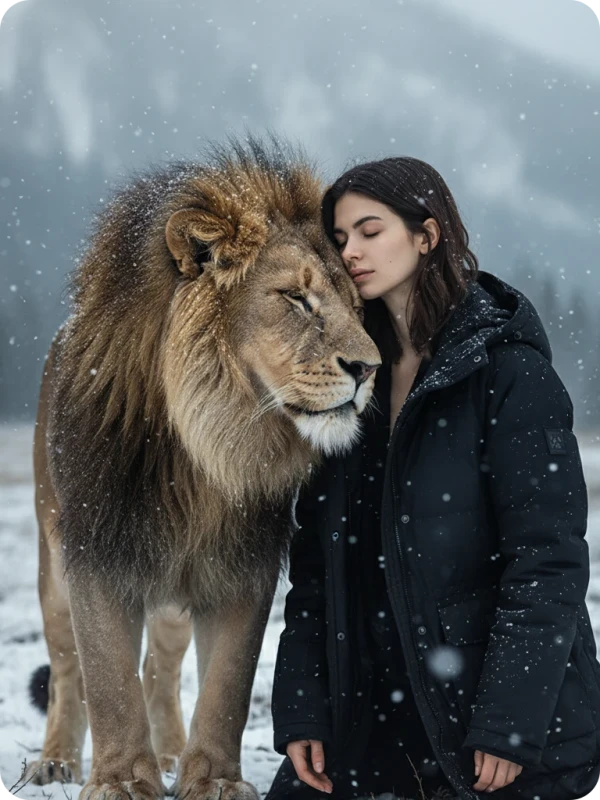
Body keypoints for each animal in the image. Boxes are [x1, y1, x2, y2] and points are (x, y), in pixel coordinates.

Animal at [27, 138, 381, 800]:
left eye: (356, 305)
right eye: (296, 299)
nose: (369, 368)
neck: (208, 446)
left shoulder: (243, 564)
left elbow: (226, 687)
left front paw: (212, 779)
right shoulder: (97, 553)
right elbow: (106, 681)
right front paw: (120, 781)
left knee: (161, 668)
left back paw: (168, 753)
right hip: (51, 561)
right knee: (66, 671)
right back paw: (55, 762)